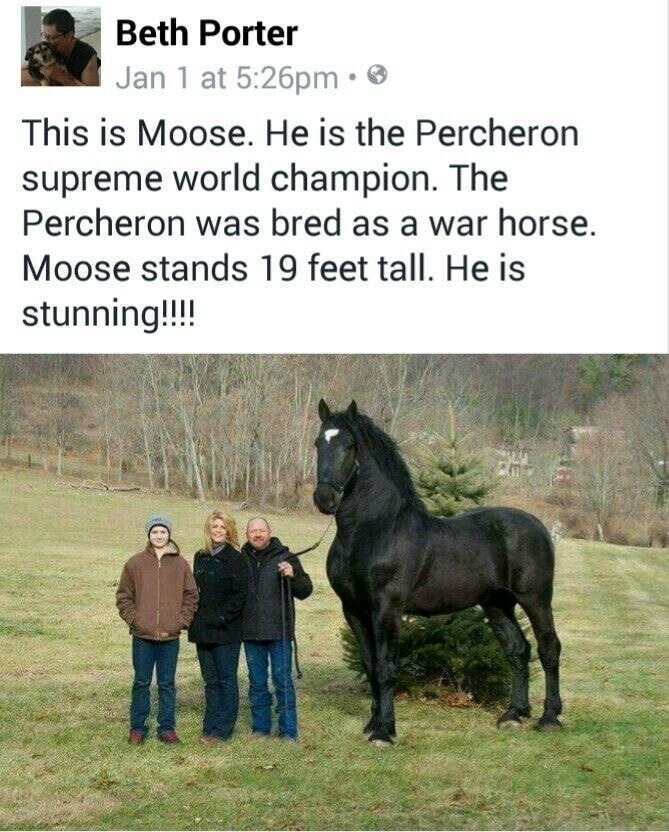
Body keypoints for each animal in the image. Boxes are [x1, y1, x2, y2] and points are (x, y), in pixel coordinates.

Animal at [313, 400, 562, 746]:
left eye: (349, 445)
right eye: (318, 443)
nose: (325, 498)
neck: (372, 530)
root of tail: (539, 526)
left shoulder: (386, 609)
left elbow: (386, 668)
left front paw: (384, 731)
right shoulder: (353, 610)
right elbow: (370, 666)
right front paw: (373, 723)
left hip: (535, 599)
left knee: (549, 647)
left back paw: (550, 717)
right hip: (497, 604)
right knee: (518, 650)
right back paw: (513, 714)